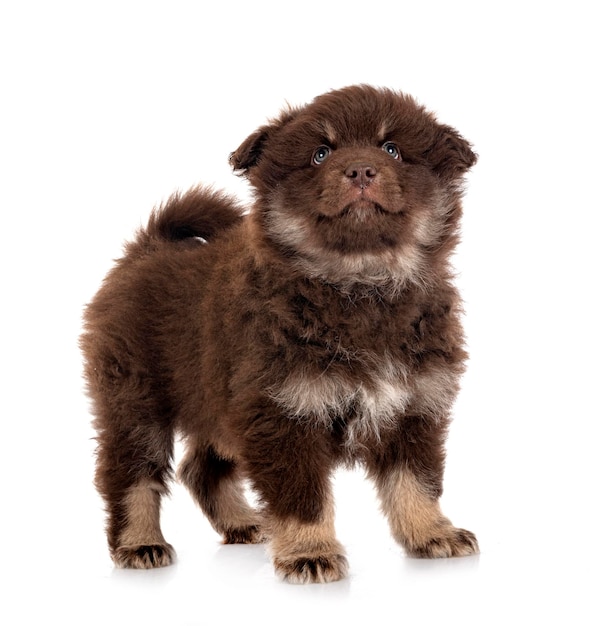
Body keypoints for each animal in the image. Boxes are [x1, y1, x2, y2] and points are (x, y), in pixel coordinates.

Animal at [80, 83, 482, 580]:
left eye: (392, 149)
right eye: (320, 154)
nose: (361, 170)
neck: (360, 283)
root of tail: (147, 246)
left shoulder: (416, 406)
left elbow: (417, 482)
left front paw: (431, 533)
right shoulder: (284, 411)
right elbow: (302, 496)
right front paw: (310, 551)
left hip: (214, 400)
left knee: (201, 468)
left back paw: (243, 523)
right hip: (135, 402)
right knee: (131, 473)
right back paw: (140, 543)